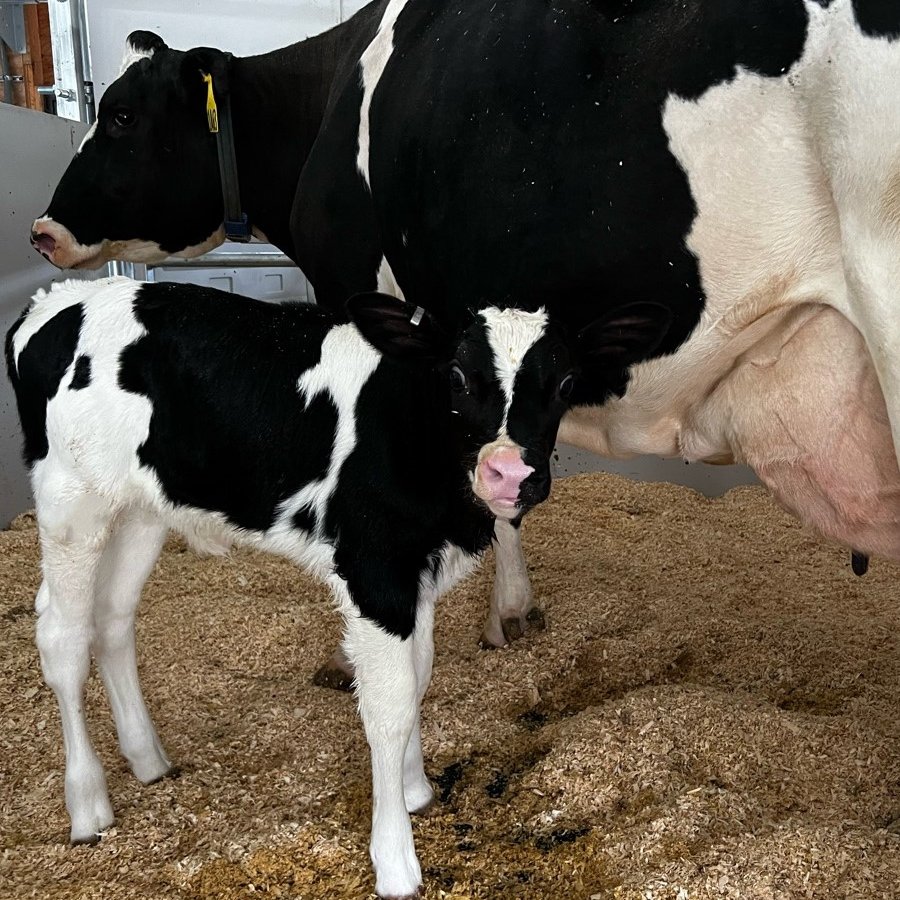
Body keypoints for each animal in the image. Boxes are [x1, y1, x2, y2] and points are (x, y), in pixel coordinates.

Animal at [5, 275, 667, 898]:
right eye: (456, 374)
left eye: (566, 382)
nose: (509, 474)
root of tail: (55, 299)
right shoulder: (374, 572)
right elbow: (389, 705)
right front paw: (395, 858)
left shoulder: (415, 573)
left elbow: (418, 676)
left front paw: (414, 789)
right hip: (70, 501)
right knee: (62, 637)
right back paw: (88, 805)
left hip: (141, 508)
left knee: (113, 619)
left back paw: (147, 760)